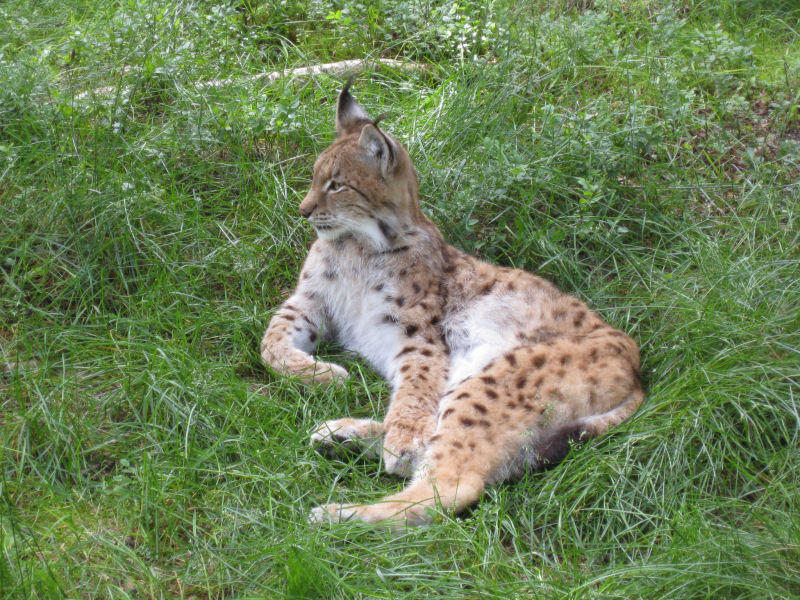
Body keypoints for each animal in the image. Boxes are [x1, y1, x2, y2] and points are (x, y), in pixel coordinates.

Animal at [259, 81, 644, 526]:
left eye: (337, 185)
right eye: (315, 178)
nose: (303, 211)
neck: (359, 245)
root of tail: (637, 370)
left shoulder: (418, 335)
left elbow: (415, 389)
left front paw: (403, 437)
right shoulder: (308, 301)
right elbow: (269, 344)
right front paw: (320, 373)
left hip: (493, 379)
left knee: (450, 488)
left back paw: (340, 515)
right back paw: (346, 436)